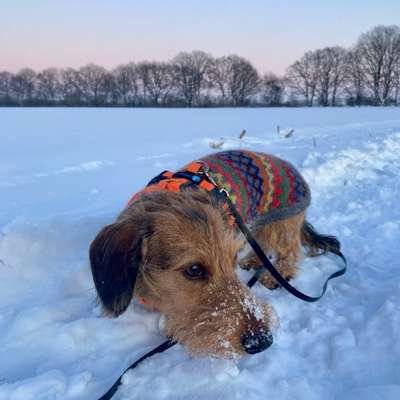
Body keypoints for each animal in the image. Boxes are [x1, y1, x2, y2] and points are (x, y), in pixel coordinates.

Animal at [90, 149, 338, 356]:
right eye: (193, 269)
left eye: (231, 259)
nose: (262, 341)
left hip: (281, 223)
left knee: (289, 249)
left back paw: (277, 274)